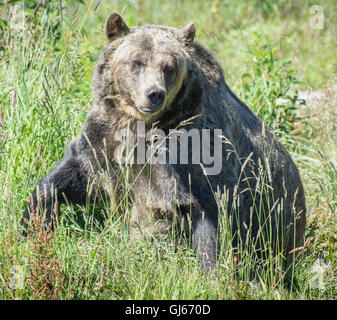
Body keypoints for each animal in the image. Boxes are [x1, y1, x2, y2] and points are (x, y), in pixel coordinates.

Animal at [21, 13, 304, 272]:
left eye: (169, 67)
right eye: (136, 62)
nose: (154, 93)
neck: (142, 125)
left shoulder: (192, 153)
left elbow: (210, 212)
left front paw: (211, 272)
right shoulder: (105, 139)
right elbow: (73, 176)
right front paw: (32, 222)